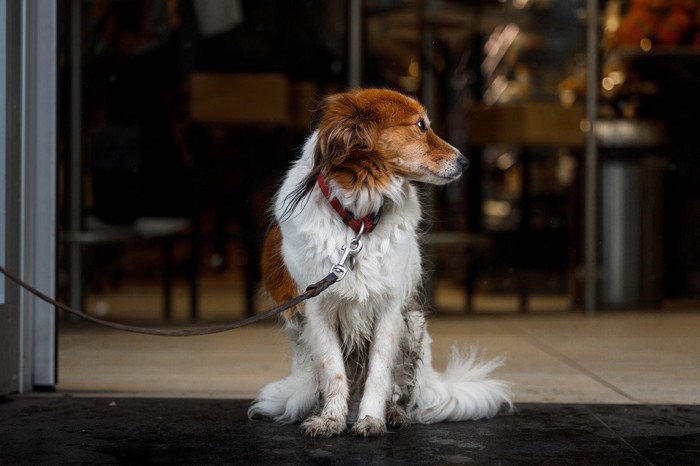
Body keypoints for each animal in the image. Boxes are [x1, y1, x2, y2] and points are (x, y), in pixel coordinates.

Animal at [249, 87, 512, 436]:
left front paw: (371, 419)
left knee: (400, 389)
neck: (358, 218)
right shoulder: (317, 310)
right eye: (420, 125)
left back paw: (394, 414)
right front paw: (331, 419)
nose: (466, 162)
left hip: (413, 327)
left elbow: (379, 374)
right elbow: (333, 370)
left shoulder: (390, 308)